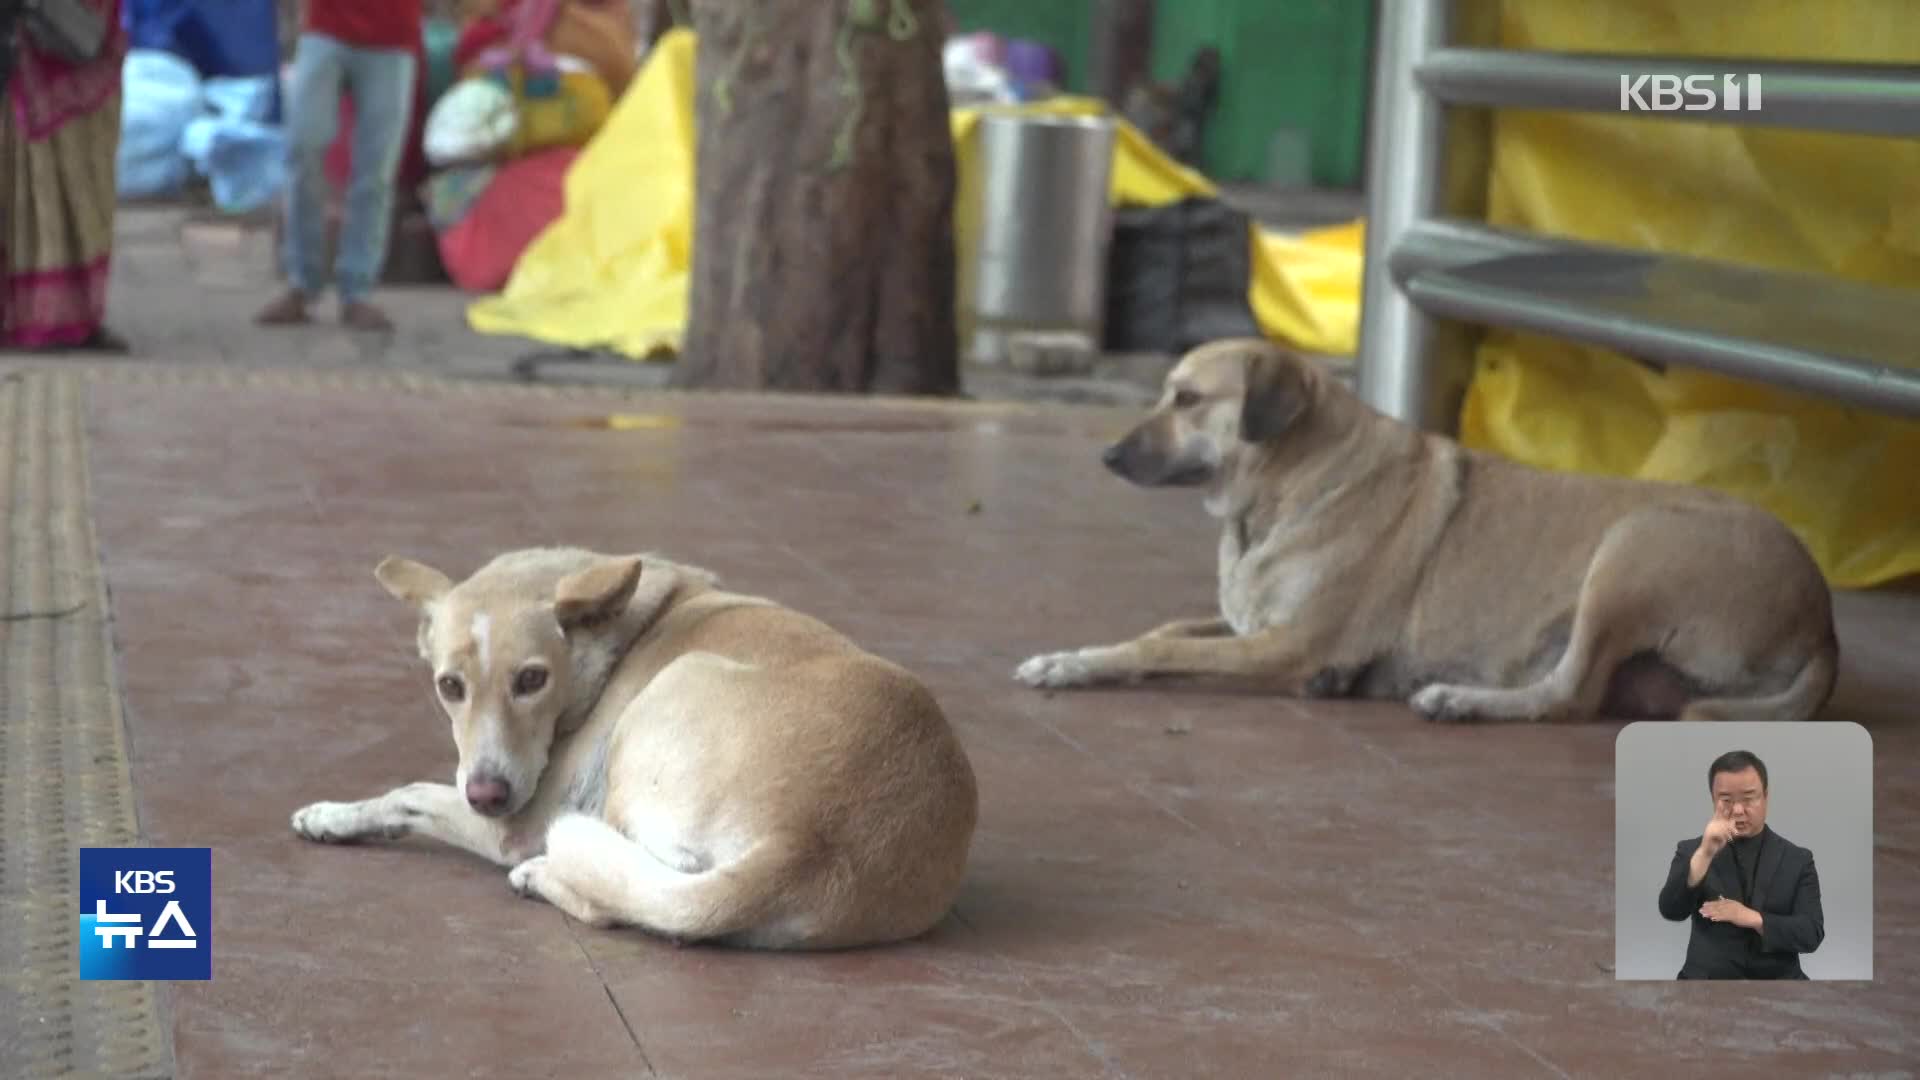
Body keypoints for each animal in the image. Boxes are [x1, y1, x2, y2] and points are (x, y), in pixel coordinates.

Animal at [291, 545, 983, 941]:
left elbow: (407, 791)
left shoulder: (518, 821)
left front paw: (331, 814)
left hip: (669, 694)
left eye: (532, 680)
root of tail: (808, 842)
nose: (487, 794)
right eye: (449, 686)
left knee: (619, 898)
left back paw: (540, 875)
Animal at [1013, 338, 1835, 722]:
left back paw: (1461, 700)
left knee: (1568, 694)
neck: (1291, 485)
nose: (1107, 456)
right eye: (1166, 393)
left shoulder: (1290, 644)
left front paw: (1076, 666)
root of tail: (1822, 615)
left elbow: (1160, 646)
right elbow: (1163, 630)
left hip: (1631, 548)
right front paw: (1075, 656)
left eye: (1186, 400)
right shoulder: (1250, 625)